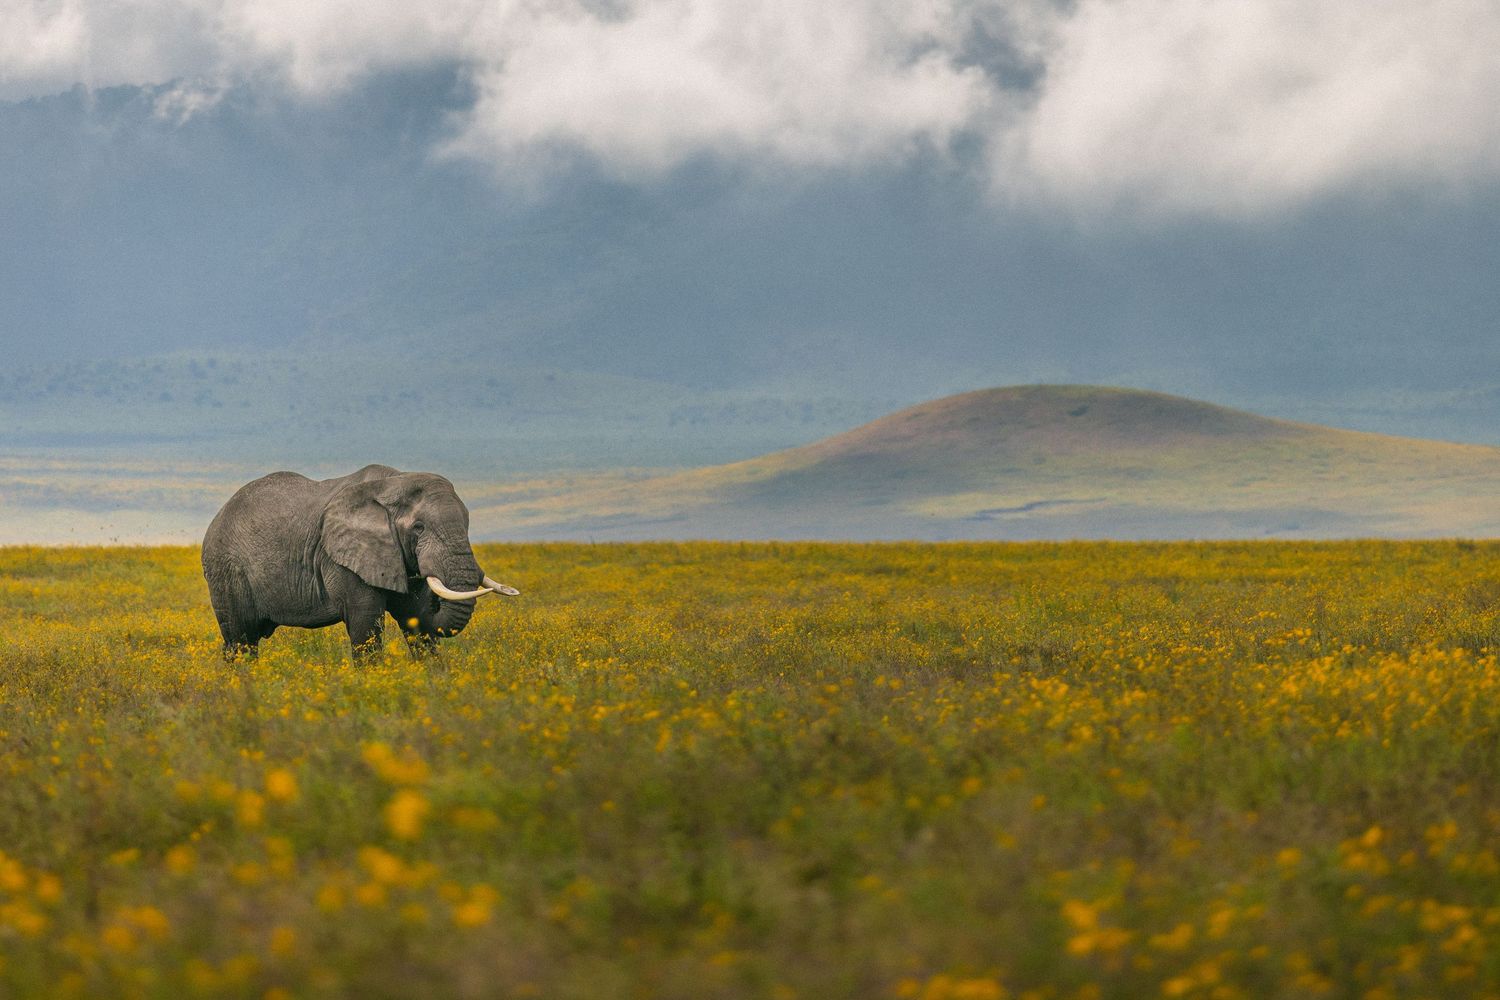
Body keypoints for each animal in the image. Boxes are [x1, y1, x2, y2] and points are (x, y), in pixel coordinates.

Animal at [202, 464, 518, 661]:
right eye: (418, 528)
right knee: (240, 640)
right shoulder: (344, 558)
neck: (394, 481)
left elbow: (416, 620)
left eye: (467, 522)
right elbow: (366, 624)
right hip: (225, 570)